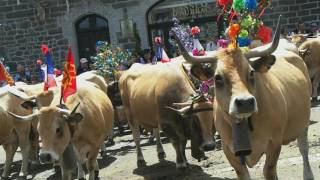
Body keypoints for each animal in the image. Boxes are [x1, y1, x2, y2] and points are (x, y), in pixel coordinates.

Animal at [174, 16, 314, 179]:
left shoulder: (274, 142)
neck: (245, 124)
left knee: (304, 148)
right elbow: (242, 174)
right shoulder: (229, 150)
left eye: (252, 72)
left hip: (303, 121)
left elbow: (269, 170)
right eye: (217, 77)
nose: (245, 102)